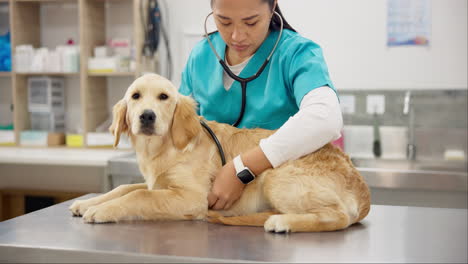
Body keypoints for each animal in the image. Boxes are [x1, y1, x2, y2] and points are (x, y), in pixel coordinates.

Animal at [68, 73, 370, 232]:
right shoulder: (158, 183)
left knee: (339, 217)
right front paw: (89, 202)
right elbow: (125, 188)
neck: (164, 148)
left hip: (277, 175)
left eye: (164, 97)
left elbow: (139, 195)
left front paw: (101, 210)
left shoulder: (191, 198)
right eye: (135, 97)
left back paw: (282, 221)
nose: (147, 116)